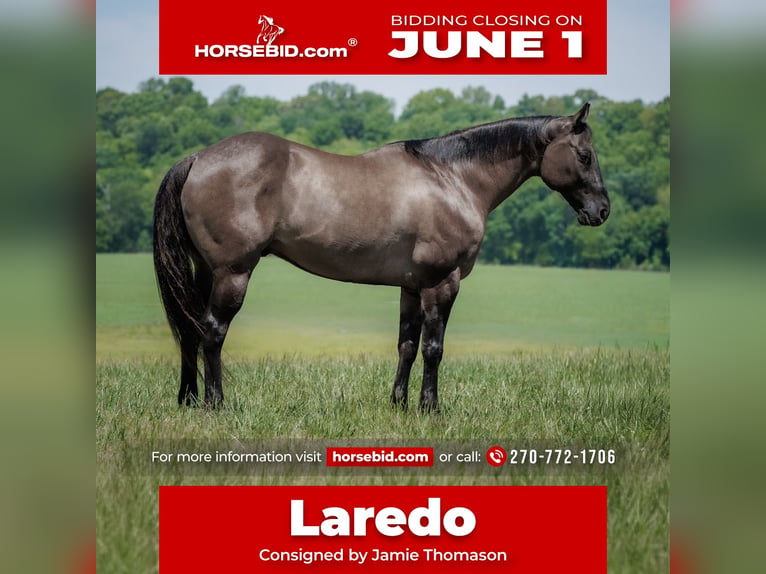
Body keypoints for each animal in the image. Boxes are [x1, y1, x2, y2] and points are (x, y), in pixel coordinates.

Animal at [153, 103, 609, 412]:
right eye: (584, 155)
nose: (602, 210)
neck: (451, 178)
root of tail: (199, 158)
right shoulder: (441, 282)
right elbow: (433, 348)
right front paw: (430, 408)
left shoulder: (412, 285)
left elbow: (407, 344)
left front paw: (399, 404)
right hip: (233, 273)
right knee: (213, 331)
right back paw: (215, 403)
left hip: (205, 271)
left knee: (191, 329)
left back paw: (188, 400)